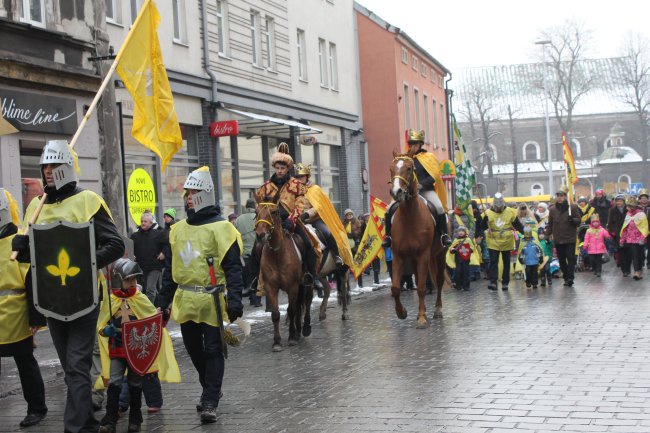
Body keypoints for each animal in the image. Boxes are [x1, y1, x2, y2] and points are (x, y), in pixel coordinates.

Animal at [254, 196, 312, 352]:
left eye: (274, 212)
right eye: (256, 211)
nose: (260, 235)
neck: (277, 254)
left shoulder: (292, 286)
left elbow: (291, 310)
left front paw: (291, 338)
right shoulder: (270, 287)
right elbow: (275, 314)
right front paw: (277, 342)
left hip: (307, 282)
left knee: (306, 301)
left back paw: (305, 328)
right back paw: (298, 331)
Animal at [388, 149, 442, 328]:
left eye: (410, 168)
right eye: (391, 169)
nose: (396, 192)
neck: (410, 218)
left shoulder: (424, 255)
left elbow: (422, 288)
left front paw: (422, 318)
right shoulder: (398, 255)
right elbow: (395, 288)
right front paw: (401, 312)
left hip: (440, 254)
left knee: (438, 281)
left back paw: (437, 310)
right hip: (412, 259)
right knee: (419, 280)